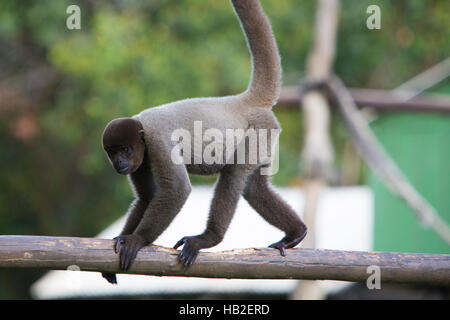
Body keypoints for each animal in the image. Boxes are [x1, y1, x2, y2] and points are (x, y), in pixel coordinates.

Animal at [100, 0, 308, 284]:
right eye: (111, 152)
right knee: (254, 188)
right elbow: (147, 196)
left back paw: (208, 239)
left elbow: (176, 189)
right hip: (265, 137)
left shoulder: (158, 141)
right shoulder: (142, 161)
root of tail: (243, 101)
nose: (119, 162)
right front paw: (123, 237)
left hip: (259, 132)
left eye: (124, 149)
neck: (142, 128)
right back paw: (296, 232)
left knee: (234, 175)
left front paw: (136, 239)